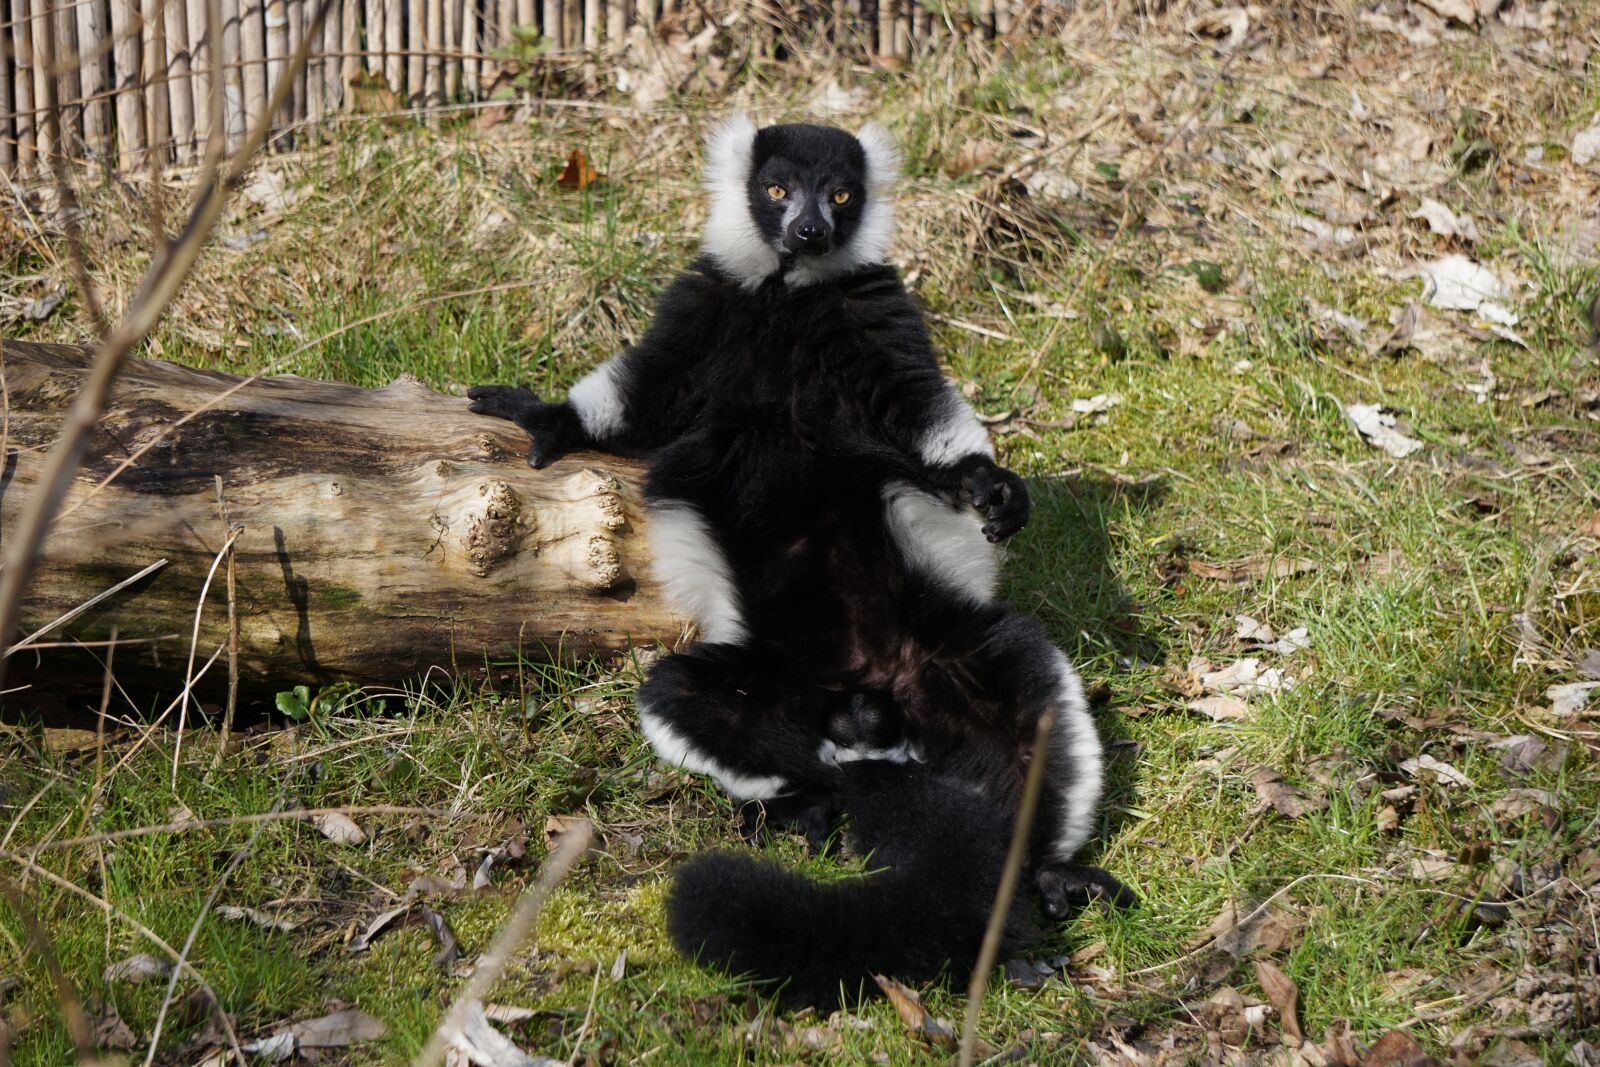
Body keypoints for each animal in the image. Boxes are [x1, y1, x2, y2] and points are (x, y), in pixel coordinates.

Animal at [468, 116, 1131, 1009]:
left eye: (841, 194)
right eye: (778, 189)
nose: (811, 231)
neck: (788, 294)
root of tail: (866, 700)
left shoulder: (875, 311)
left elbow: (923, 413)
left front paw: (987, 484)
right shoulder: (705, 302)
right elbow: (641, 396)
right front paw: (546, 417)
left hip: (936, 658)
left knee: (1025, 691)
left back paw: (1043, 872)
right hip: (782, 683)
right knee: (685, 696)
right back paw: (810, 802)